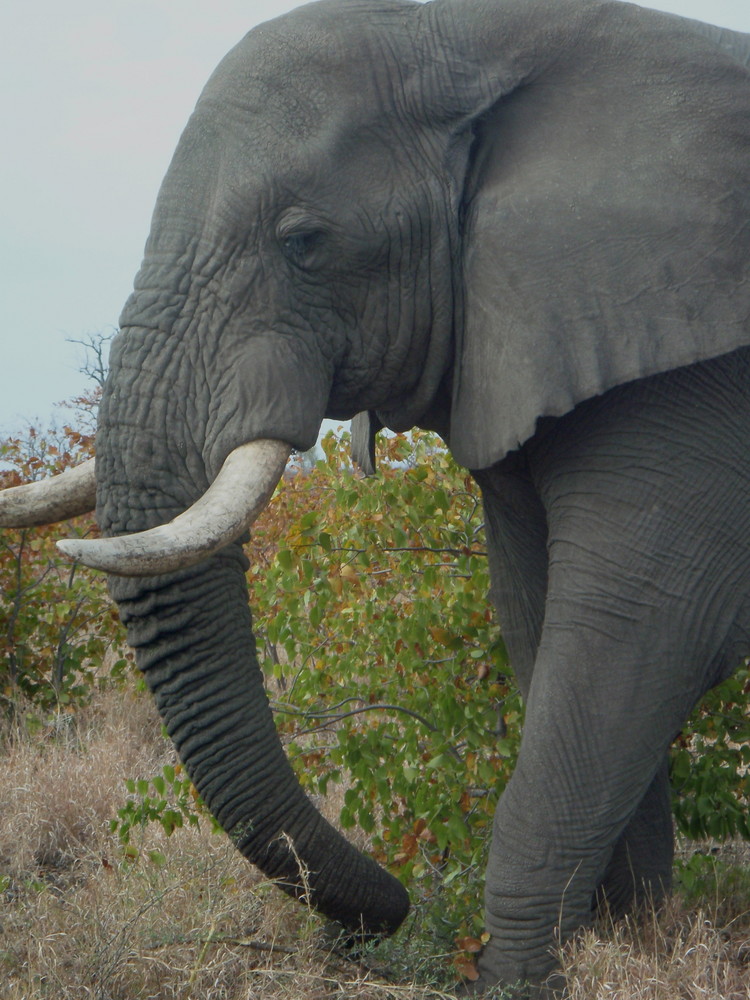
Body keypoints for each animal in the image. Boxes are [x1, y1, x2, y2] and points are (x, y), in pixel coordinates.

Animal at [1, 0, 750, 996]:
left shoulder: (690, 370)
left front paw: (522, 981)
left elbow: (641, 634)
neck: (494, 39)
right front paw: (631, 946)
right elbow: (541, 625)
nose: (382, 917)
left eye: (304, 242)